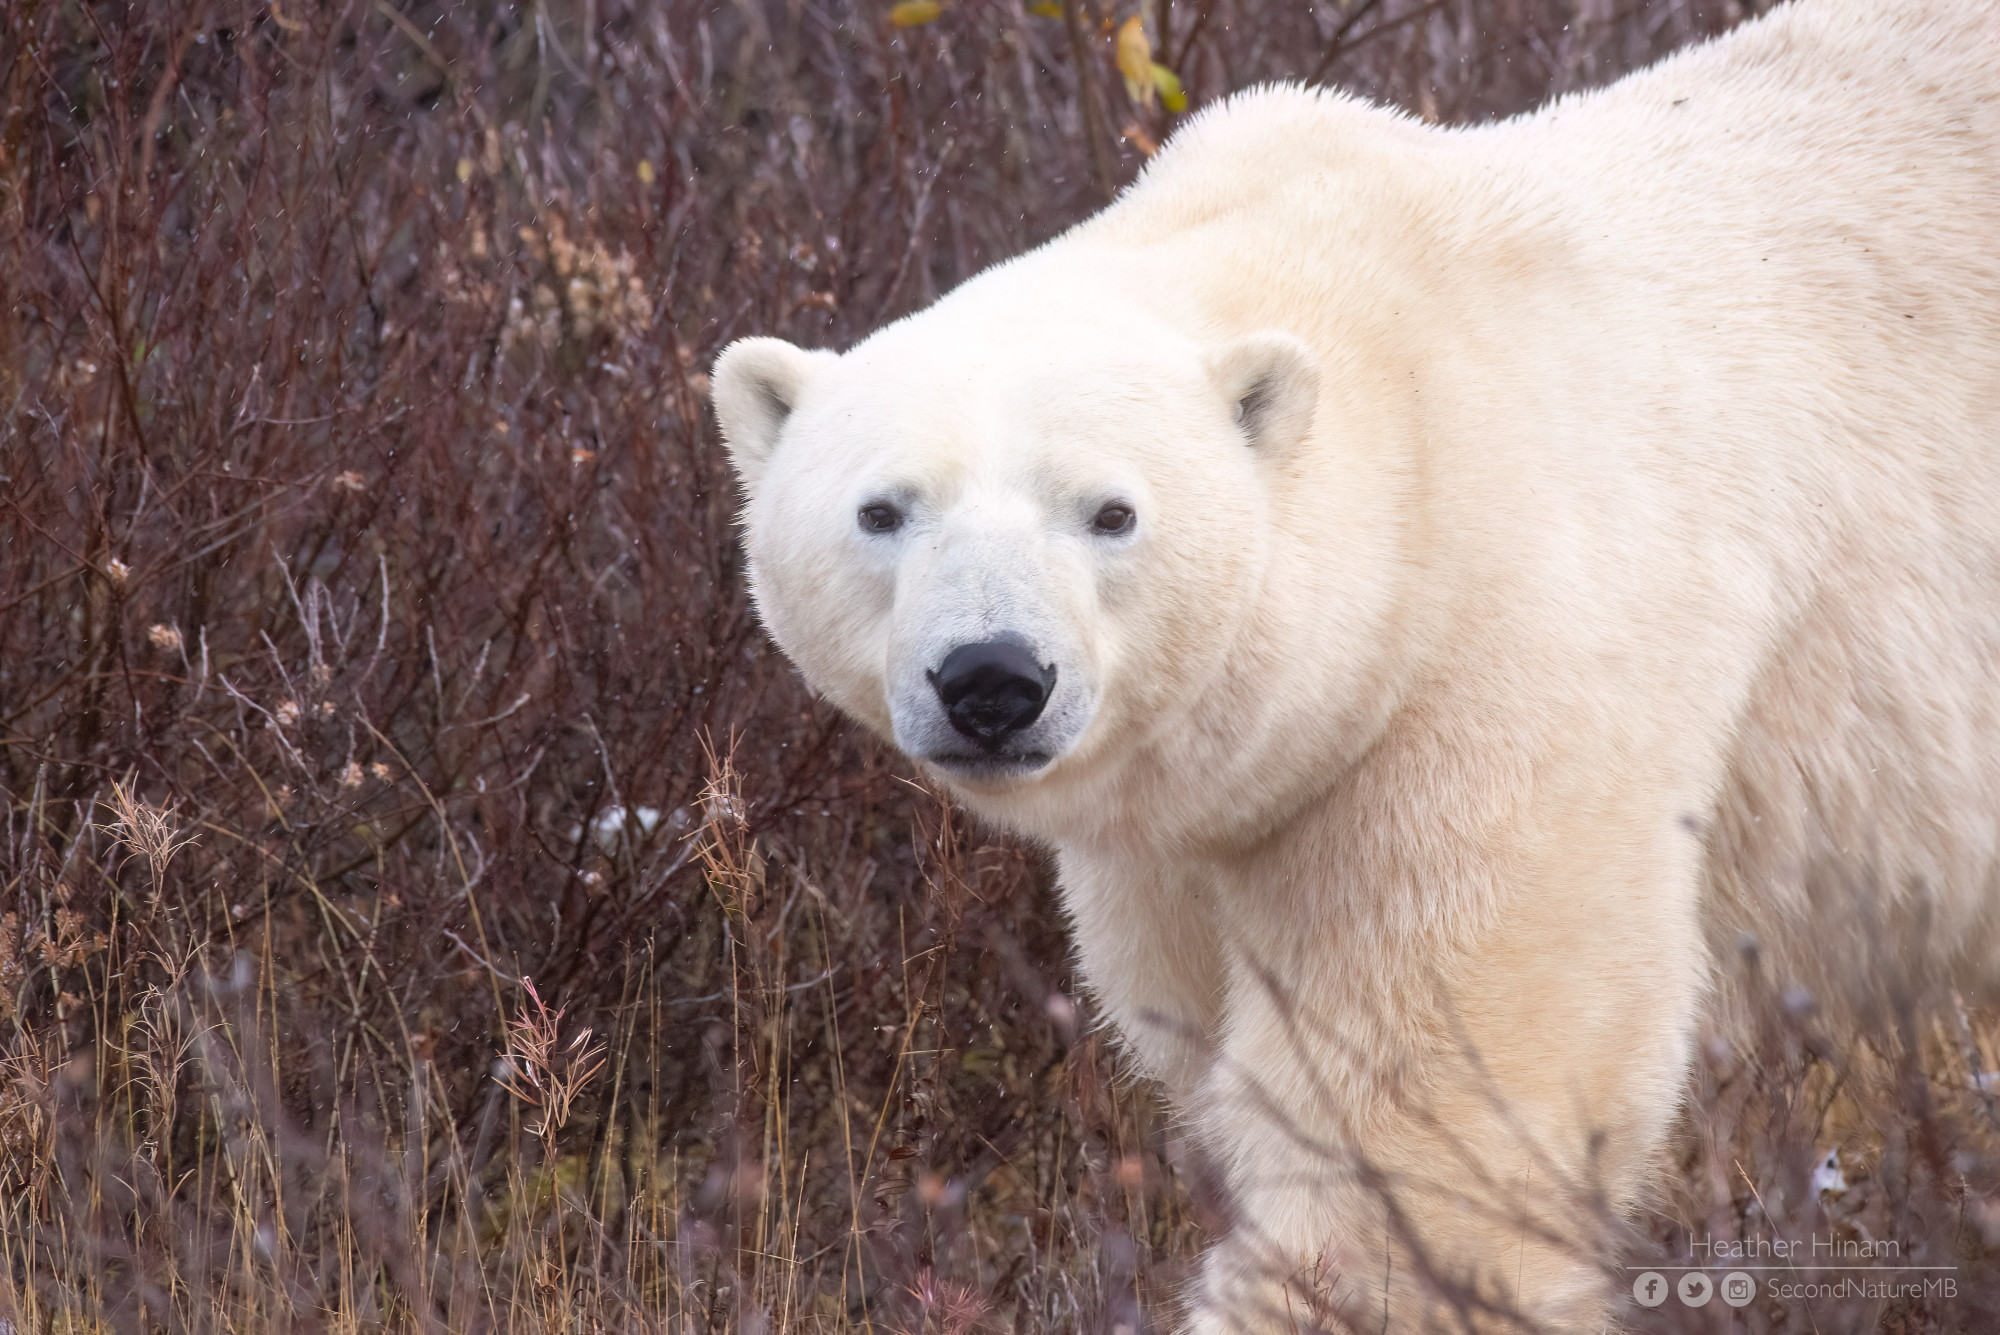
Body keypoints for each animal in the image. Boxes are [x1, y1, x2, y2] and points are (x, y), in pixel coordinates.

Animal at [716, 2, 2000, 1327]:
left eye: (1110, 512)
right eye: (881, 510)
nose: (990, 680)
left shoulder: (1499, 661)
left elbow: (1427, 1111)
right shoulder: (1194, 845)